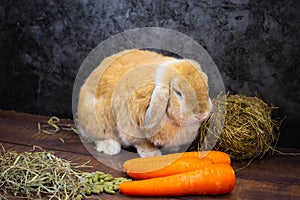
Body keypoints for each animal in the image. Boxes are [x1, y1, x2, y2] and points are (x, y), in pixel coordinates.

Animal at [77, 48, 213, 158]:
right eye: (178, 93)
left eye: (206, 87)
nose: (202, 114)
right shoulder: (132, 126)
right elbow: (143, 143)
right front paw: (153, 155)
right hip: (98, 118)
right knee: (97, 135)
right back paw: (110, 147)